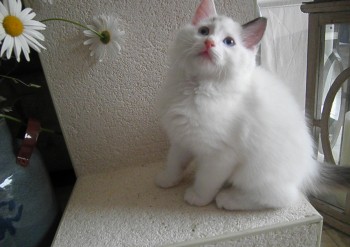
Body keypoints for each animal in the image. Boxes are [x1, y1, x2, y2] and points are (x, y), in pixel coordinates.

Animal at [156, 0, 350, 210]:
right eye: (204, 31)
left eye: (229, 42)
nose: (209, 43)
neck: (196, 88)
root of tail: (310, 166)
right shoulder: (181, 139)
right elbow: (175, 163)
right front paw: (166, 180)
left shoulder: (220, 155)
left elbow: (206, 181)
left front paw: (198, 198)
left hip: (255, 174)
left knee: (282, 198)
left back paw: (228, 198)